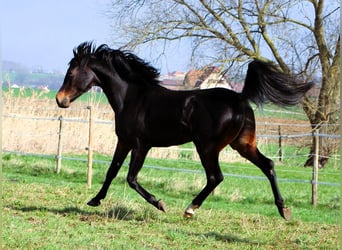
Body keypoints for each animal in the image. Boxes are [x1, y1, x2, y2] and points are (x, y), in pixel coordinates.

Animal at [56, 42, 312, 220]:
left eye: (71, 74)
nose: (60, 100)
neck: (132, 97)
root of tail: (240, 97)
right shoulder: (125, 141)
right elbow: (112, 171)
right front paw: (94, 200)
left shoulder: (140, 144)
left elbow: (131, 178)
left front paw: (160, 204)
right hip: (243, 144)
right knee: (268, 165)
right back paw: (283, 210)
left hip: (207, 147)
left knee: (216, 177)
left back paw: (190, 209)